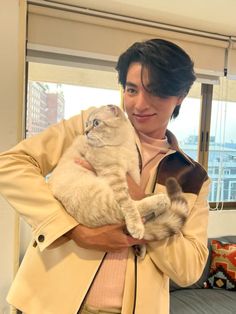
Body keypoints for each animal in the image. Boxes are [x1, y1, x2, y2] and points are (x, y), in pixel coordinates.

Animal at [48, 104, 189, 256]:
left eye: (96, 123)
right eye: (86, 124)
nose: (85, 132)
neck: (122, 145)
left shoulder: (133, 171)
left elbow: (136, 190)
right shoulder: (115, 176)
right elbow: (129, 205)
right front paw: (136, 227)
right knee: (133, 207)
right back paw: (160, 201)